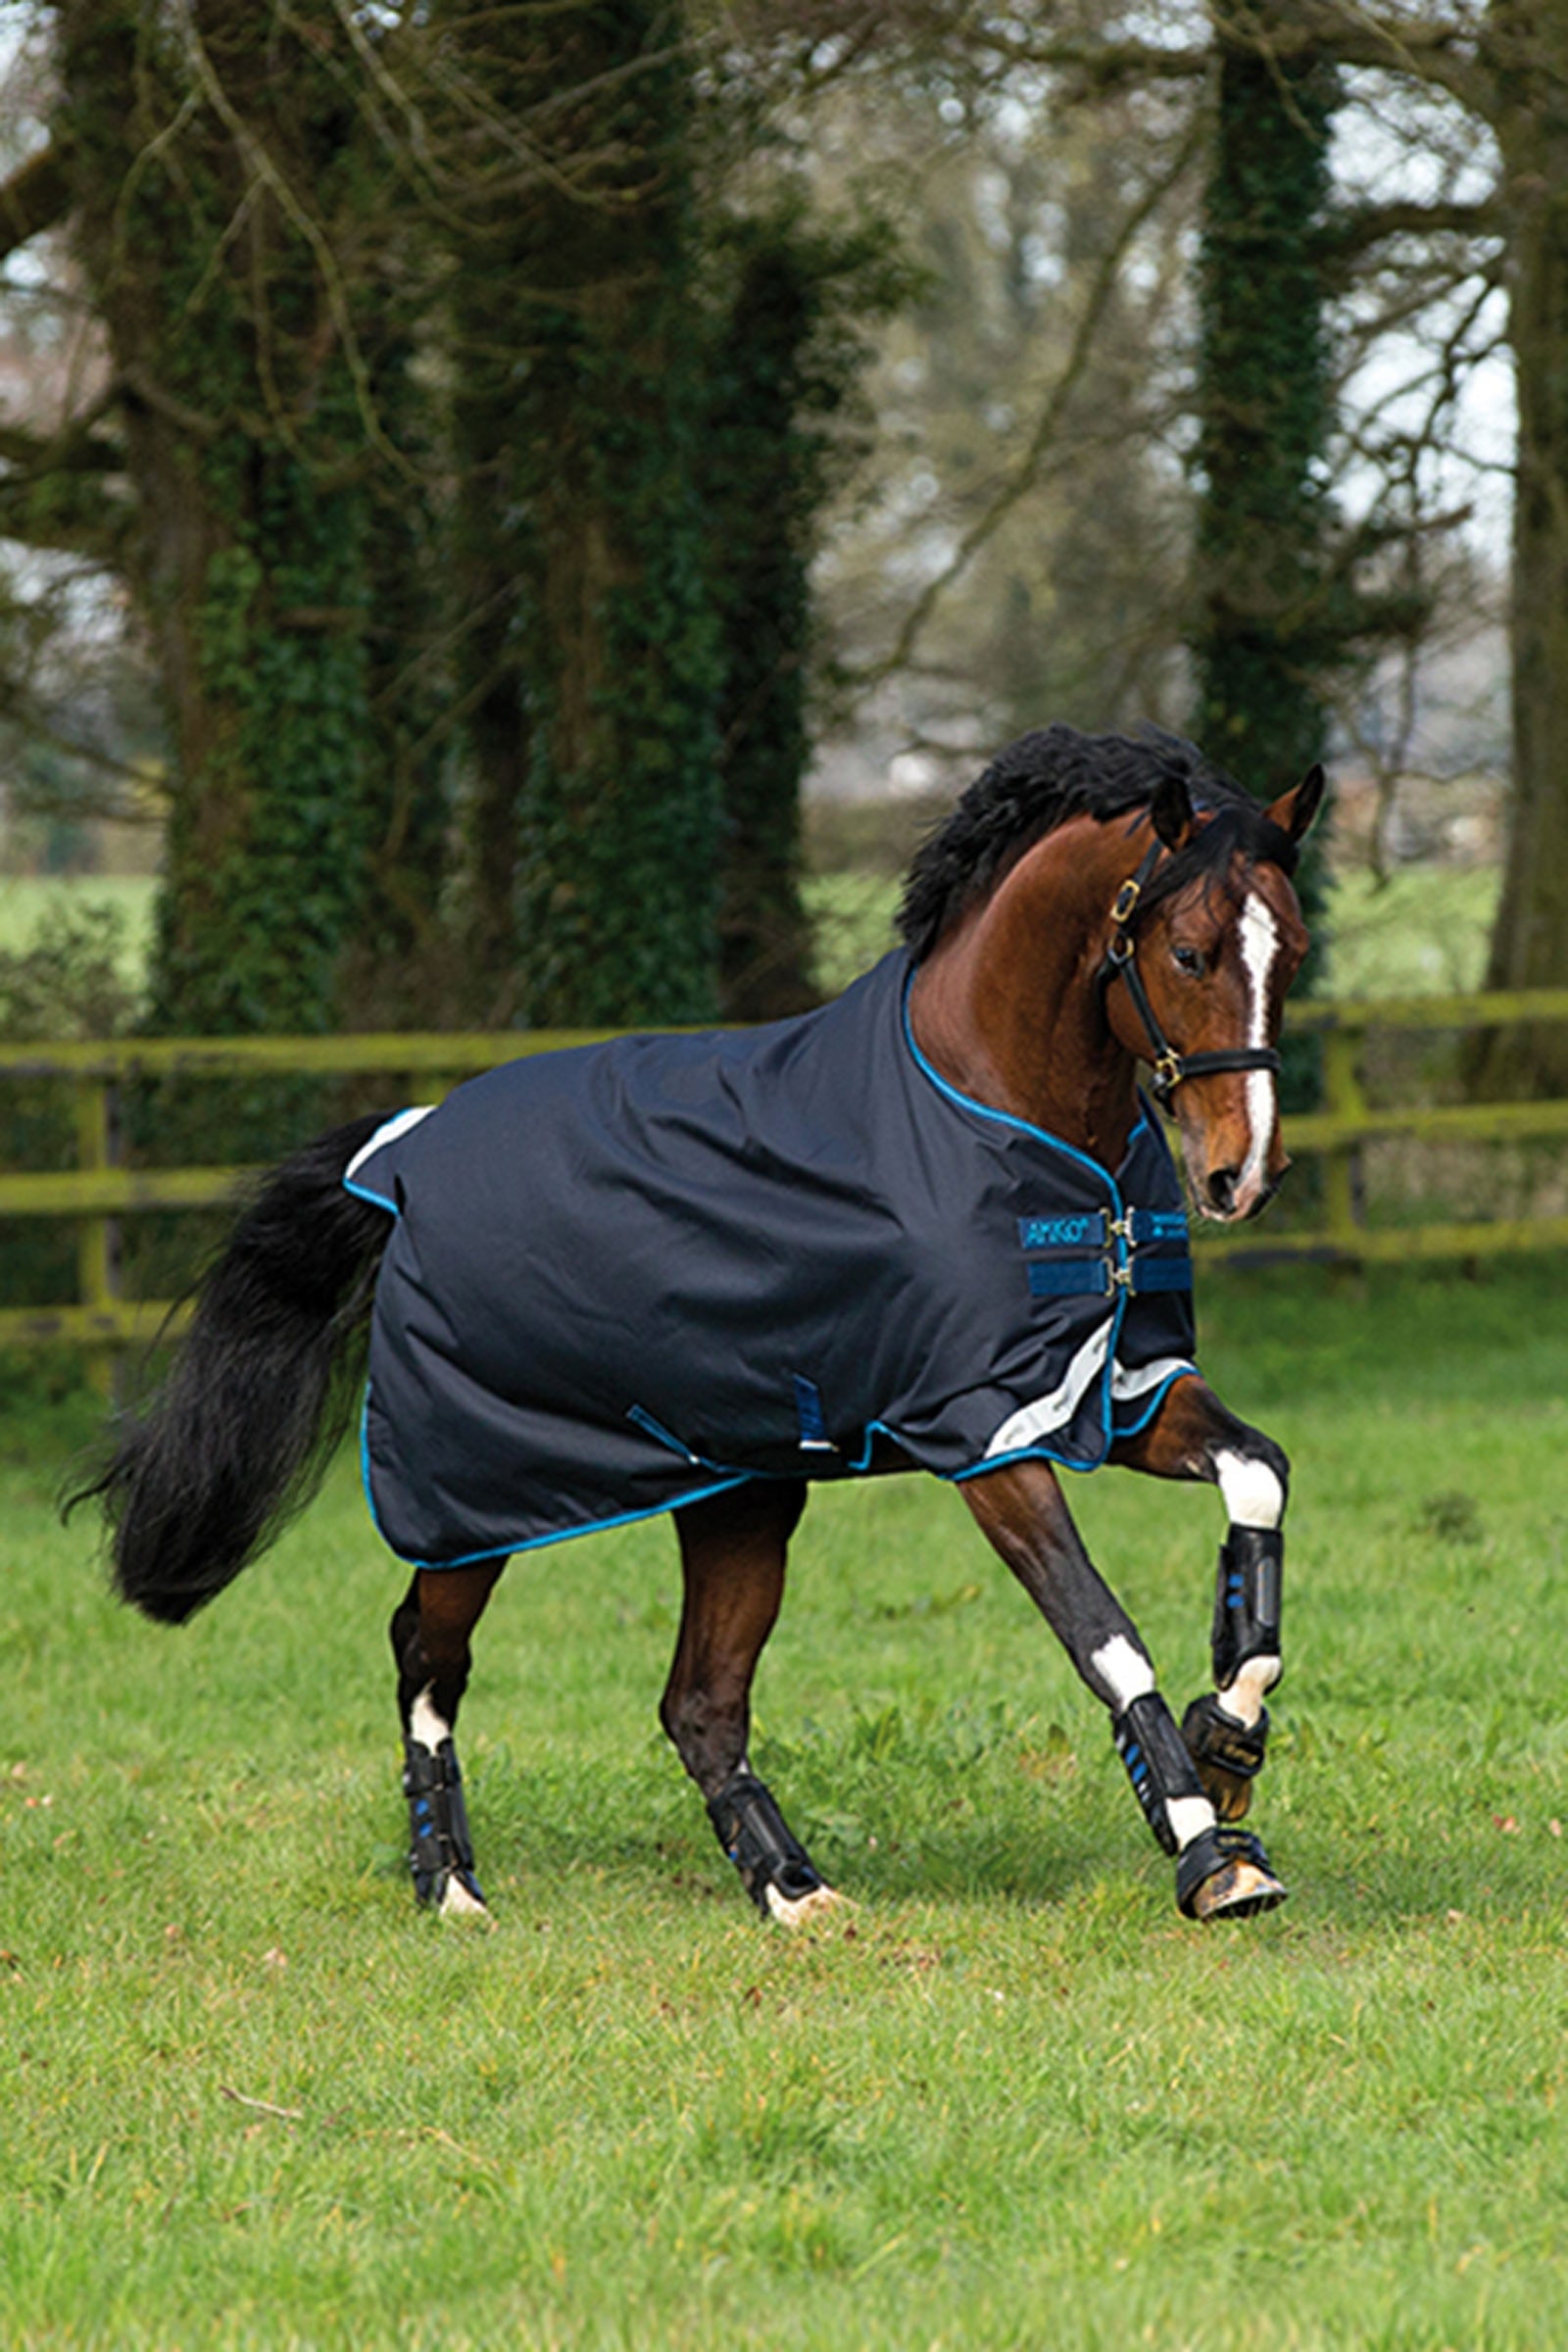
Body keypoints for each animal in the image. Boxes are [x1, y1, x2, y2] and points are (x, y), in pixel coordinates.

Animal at [78, 723, 1321, 1930]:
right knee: (427, 1655)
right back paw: (452, 1884)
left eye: (1294, 952)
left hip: (738, 1494)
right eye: (1188, 953)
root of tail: (407, 1145)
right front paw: (1211, 1854)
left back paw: (791, 1889)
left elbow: (1259, 1477)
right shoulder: (985, 1436)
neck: (993, 1111)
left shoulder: (1117, 1388)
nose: (1242, 1175)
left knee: (699, 1701)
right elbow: (1101, 1633)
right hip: (470, 1497)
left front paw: (1229, 1740)